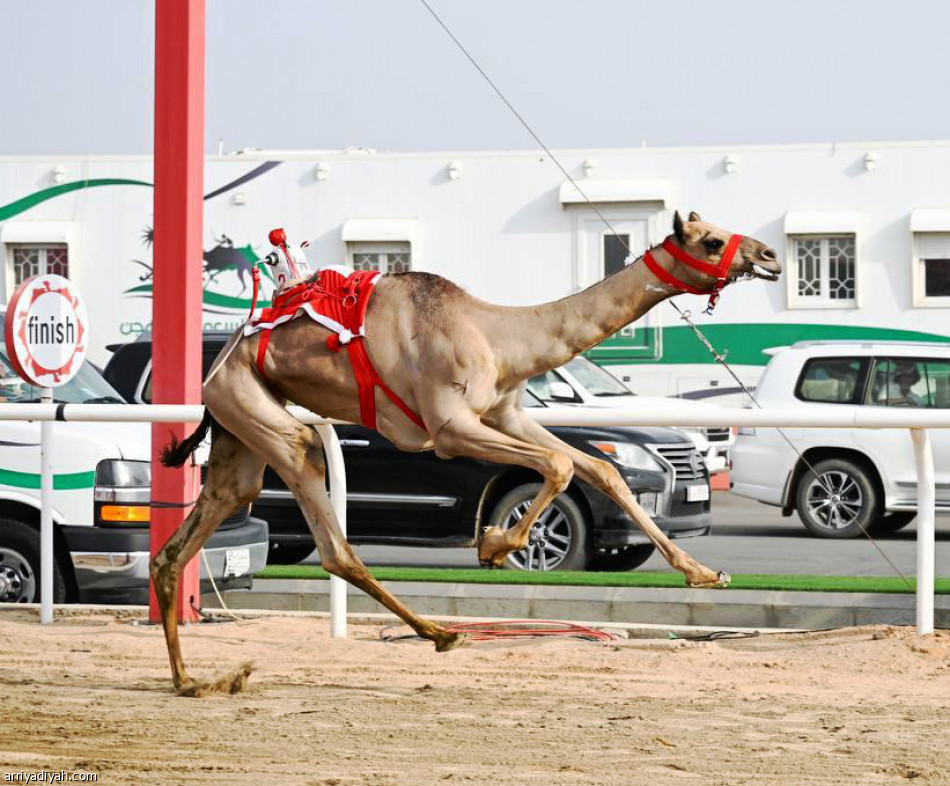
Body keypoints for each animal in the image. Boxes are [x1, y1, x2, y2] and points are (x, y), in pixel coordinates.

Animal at [152, 210, 780, 692]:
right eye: (711, 240)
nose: (769, 254)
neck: (498, 336)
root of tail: (214, 371)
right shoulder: (449, 427)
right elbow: (558, 465)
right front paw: (496, 545)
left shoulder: (506, 413)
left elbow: (598, 467)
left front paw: (704, 572)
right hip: (261, 413)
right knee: (327, 528)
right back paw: (442, 633)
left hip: (238, 431)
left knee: (191, 534)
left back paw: (190, 680)